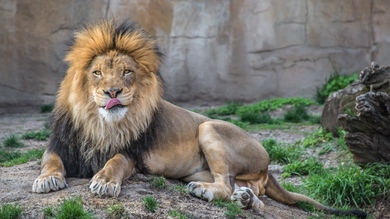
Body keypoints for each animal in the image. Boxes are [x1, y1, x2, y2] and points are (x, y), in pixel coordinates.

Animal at [32, 19, 368, 218]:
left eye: (127, 71)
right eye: (97, 72)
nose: (112, 91)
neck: (100, 122)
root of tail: (268, 165)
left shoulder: (133, 154)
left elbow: (115, 162)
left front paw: (103, 182)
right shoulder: (60, 143)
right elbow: (49, 161)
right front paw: (47, 180)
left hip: (208, 127)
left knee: (224, 186)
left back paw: (209, 193)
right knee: (245, 191)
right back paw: (246, 200)